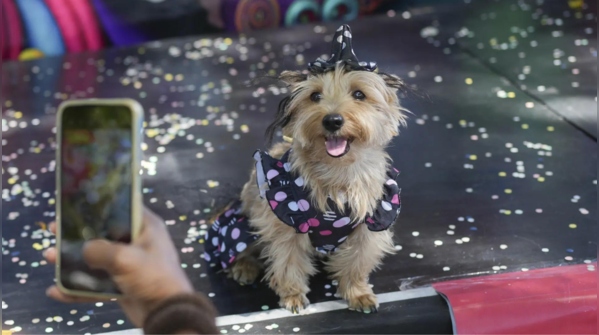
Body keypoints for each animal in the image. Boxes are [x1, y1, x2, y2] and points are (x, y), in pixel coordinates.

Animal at [206, 24, 408, 316]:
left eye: (359, 94)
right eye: (315, 96)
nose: (332, 120)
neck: (338, 173)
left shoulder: (368, 228)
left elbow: (355, 265)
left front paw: (357, 293)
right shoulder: (286, 228)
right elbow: (288, 264)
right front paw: (293, 296)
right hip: (246, 220)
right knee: (237, 247)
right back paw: (244, 266)